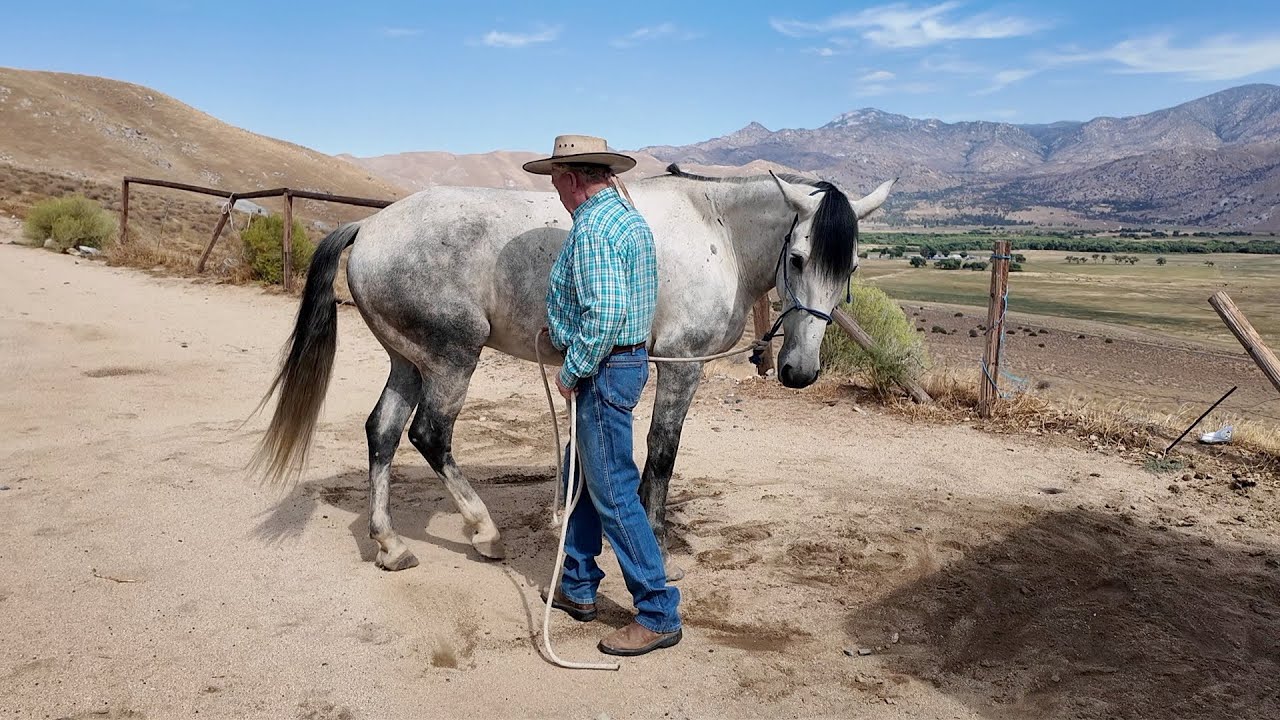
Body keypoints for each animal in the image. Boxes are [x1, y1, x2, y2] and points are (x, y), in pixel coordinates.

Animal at [249, 164, 894, 578]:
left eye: (849, 266)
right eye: (798, 258)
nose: (799, 370)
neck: (718, 231)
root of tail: (371, 227)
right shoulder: (682, 366)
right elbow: (663, 450)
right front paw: (656, 538)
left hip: (407, 360)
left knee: (381, 434)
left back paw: (389, 545)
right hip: (451, 359)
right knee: (429, 435)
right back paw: (484, 532)